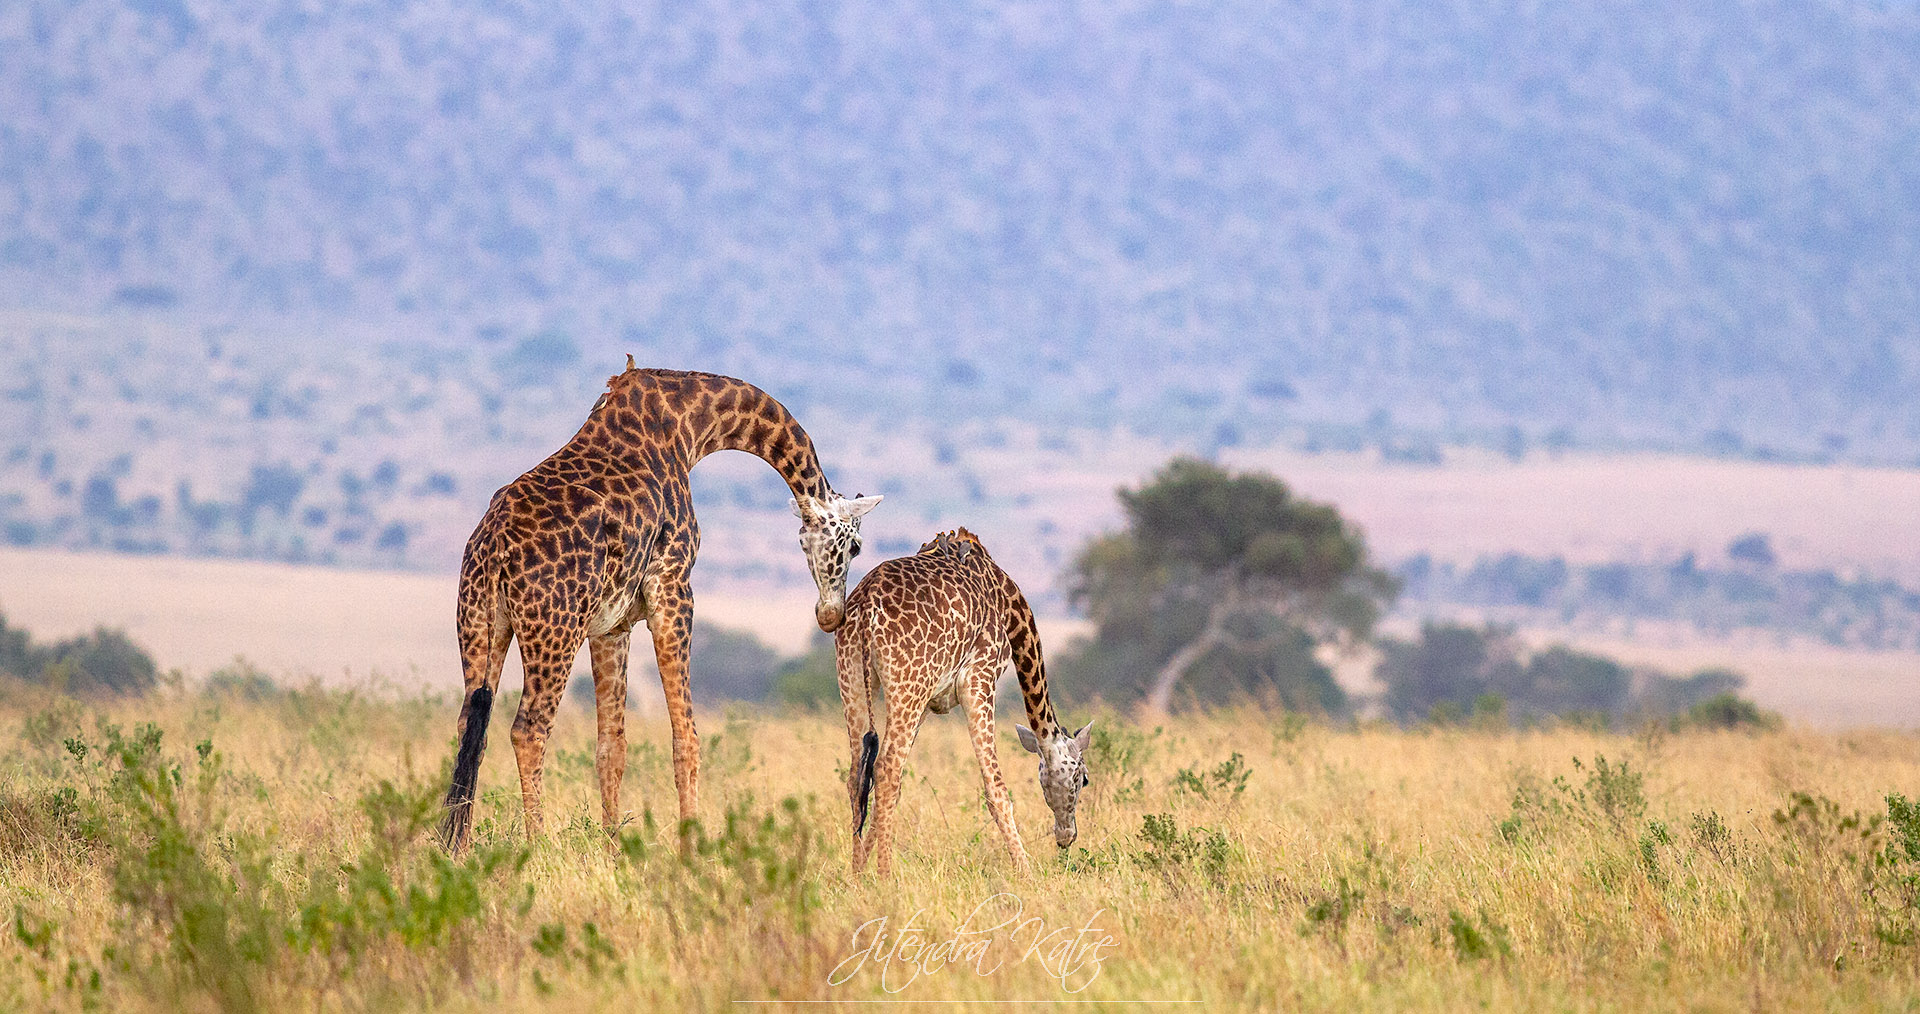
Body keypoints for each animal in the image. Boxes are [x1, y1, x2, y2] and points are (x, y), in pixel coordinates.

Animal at [440, 363, 881, 851]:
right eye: (856, 546)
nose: (829, 615)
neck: (689, 425)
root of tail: (494, 543)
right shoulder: (673, 589)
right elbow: (686, 738)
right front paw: (692, 846)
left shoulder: (612, 625)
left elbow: (612, 745)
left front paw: (612, 847)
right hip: (554, 629)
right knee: (528, 729)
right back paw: (537, 845)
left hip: (479, 622)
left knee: (469, 725)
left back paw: (458, 847)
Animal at [836, 527, 1091, 875]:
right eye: (1084, 779)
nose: (1066, 836)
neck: (1010, 605)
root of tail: (865, 608)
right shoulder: (979, 678)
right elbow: (996, 789)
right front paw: (1026, 872)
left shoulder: (930, 698)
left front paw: (861, 867)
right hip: (907, 683)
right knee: (886, 770)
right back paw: (887, 877)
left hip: (856, 678)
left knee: (857, 774)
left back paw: (857, 876)